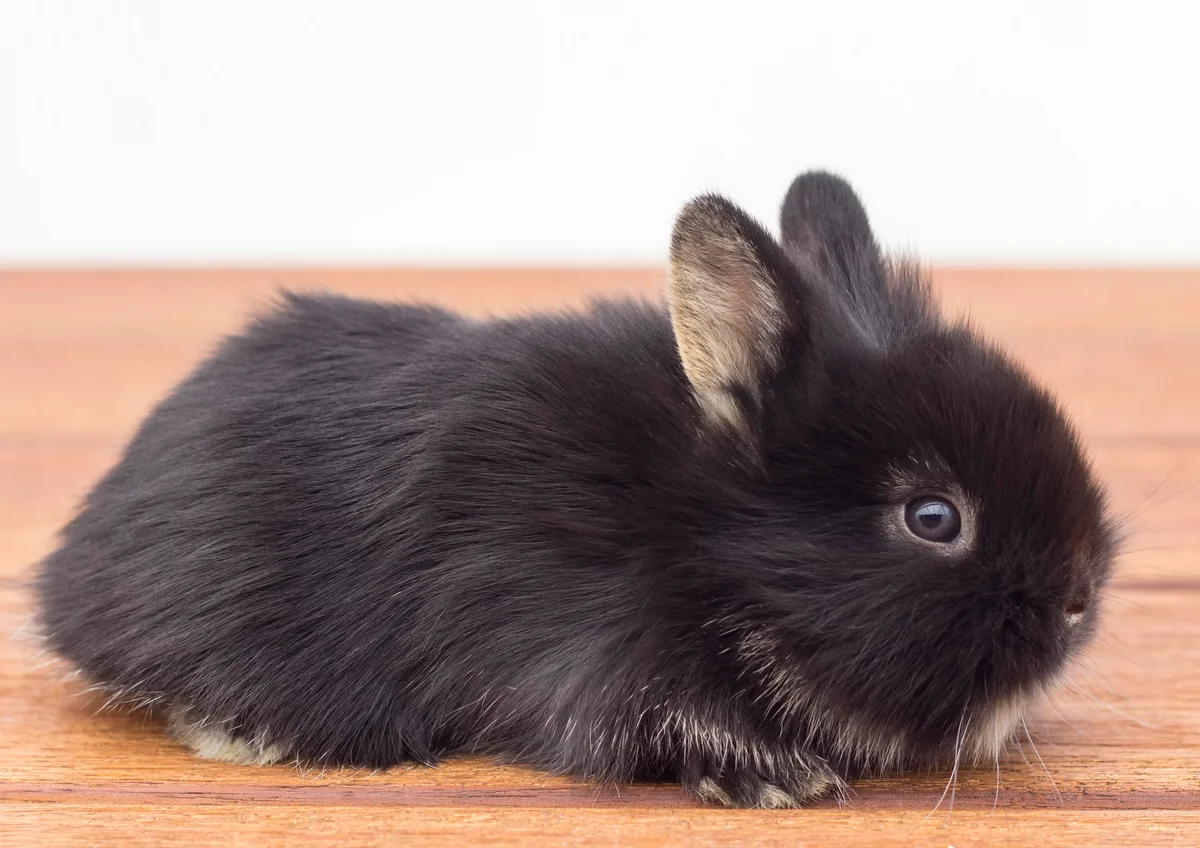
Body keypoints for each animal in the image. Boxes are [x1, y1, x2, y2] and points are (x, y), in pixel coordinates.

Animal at [35, 171, 1115, 808]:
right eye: (934, 517)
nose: (1077, 599)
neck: (701, 546)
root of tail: (70, 568)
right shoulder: (601, 660)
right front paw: (778, 780)